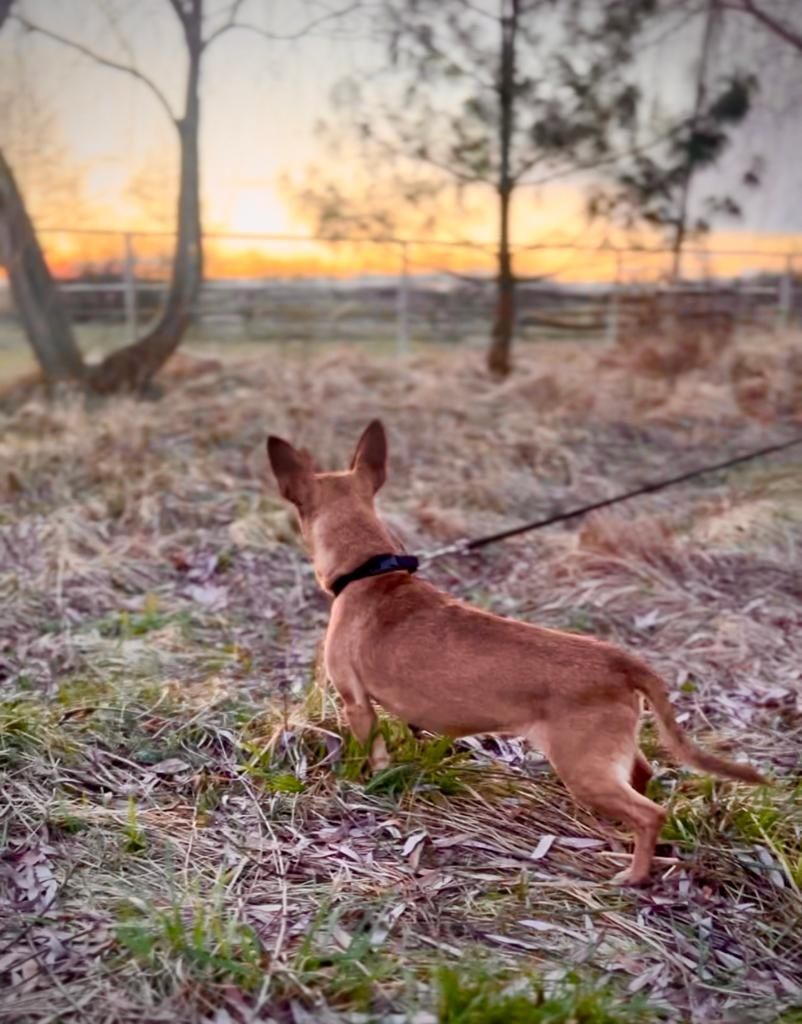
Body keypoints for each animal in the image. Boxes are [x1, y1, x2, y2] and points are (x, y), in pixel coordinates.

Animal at [266, 419, 770, 884]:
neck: (371, 571)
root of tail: (619, 661)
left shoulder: (356, 703)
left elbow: (372, 755)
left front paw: (366, 783)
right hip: (607, 757)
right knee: (643, 775)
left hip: (581, 768)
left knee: (650, 813)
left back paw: (634, 875)